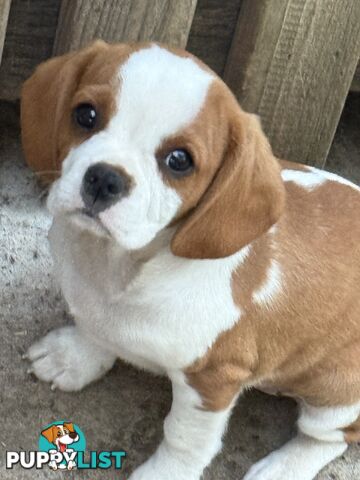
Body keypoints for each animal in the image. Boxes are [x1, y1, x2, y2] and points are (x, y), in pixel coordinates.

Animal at [21, 41, 360, 480]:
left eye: (179, 160)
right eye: (86, 114)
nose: (105, 179)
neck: (119, 266)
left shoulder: (211, 381)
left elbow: (184, 440)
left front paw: (164, 473)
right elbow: (96, 331)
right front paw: (75, 357)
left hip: (337, 398)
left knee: (332, 438)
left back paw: (283, 467)